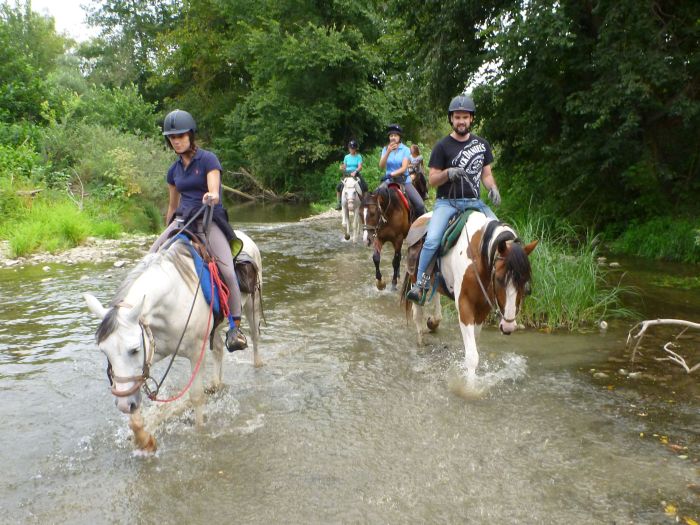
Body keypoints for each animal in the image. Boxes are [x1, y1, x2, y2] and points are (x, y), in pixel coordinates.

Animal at [84, 230, 262, 450]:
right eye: (104, 351)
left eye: (134, 349)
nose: (124, 405)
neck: (174, 298)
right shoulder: (153, 351)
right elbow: (136, 402)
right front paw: (145, 441)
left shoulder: (196, 352)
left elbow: (196, 396)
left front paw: (200, 433)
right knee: (219, 349)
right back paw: (215, 384)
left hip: (252, 307)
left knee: (255, 338)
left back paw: (257, 365)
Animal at [402, 213, 540, 388]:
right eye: (499, 279)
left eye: (525, 282)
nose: (508, 327)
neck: (478, 257)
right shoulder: (465, 306)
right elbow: (472, 356)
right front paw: (470, 388)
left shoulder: (481, 309)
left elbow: (473, 344)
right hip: (415, 279)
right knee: (418, 314)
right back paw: (421, 342)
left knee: (436, 296)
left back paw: (433, 321)